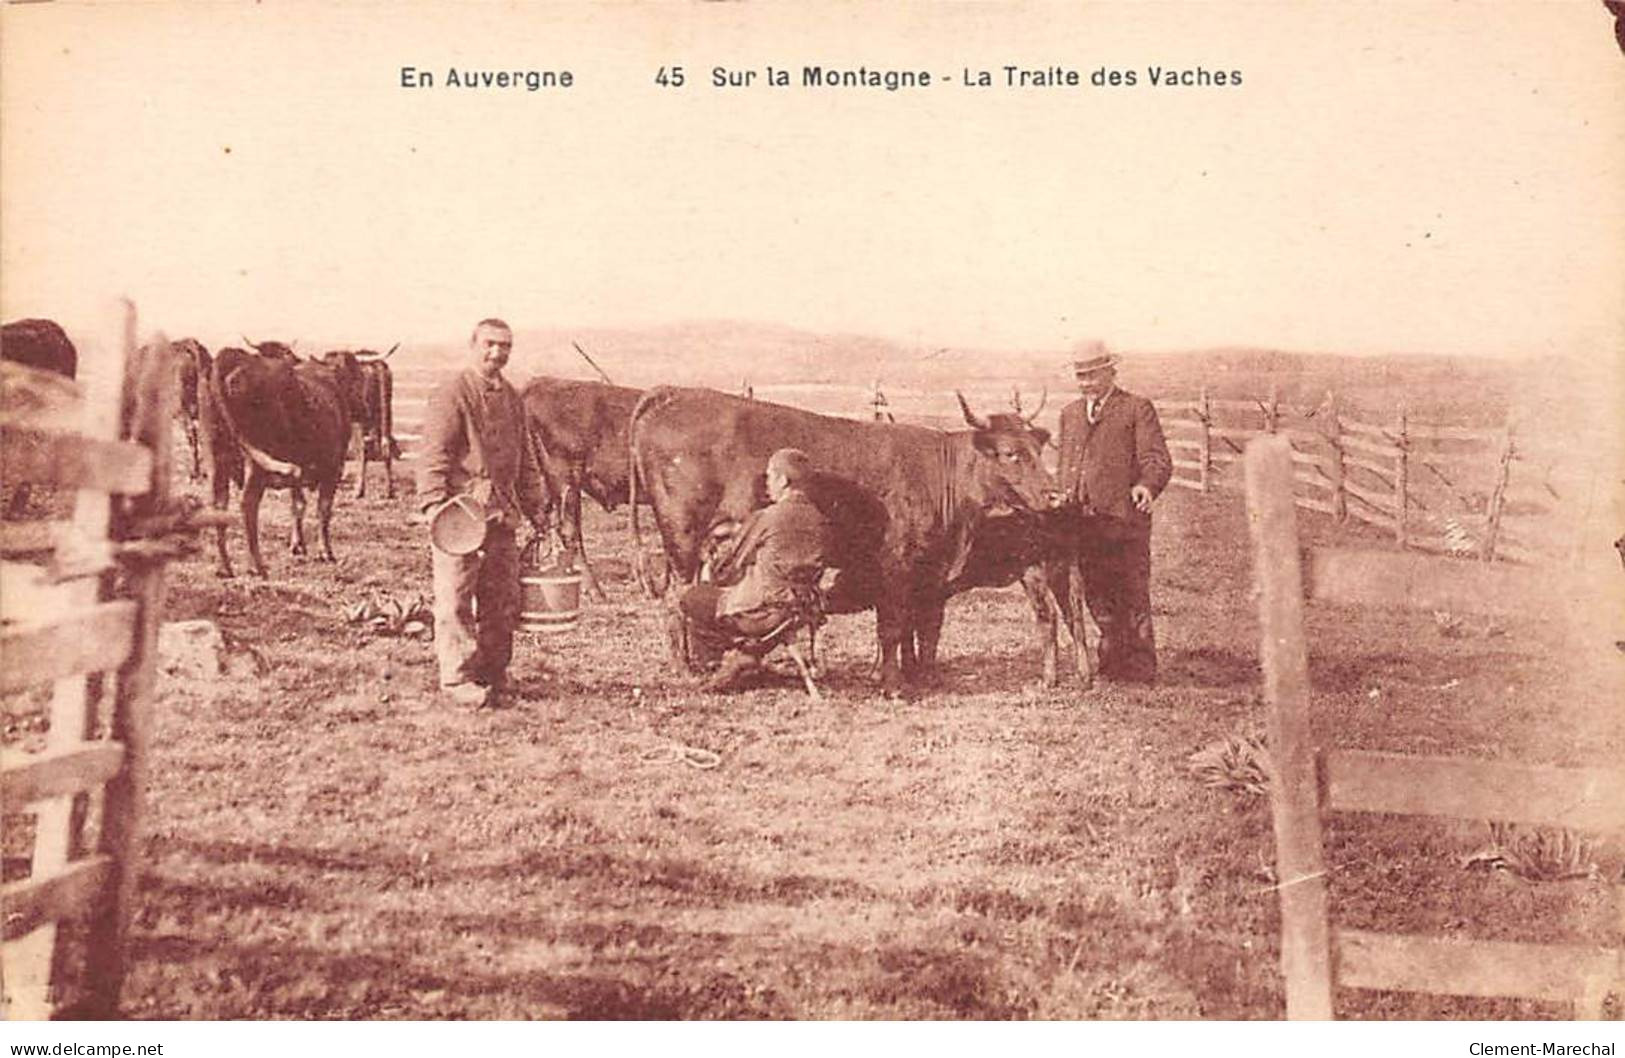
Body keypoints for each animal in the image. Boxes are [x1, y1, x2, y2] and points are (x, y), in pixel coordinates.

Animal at [203, 346, 365, 578]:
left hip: (216, 458)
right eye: (357, 378)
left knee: (218, 504)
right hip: (256, 464)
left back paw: (224, 566)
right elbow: (323, 509)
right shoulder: (334, 468)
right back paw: (257, 565)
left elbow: (297, 505)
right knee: (248, 505)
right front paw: (325, 552)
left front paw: (298, 546)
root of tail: (232, 356)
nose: (366, 408)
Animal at [620, 388, 1053, 695]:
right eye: (1010, 453)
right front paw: (892, 684)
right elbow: (893, 626)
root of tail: (674, 393)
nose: (1054, 493)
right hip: (681, 536)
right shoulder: (894, 564)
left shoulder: (928, 572)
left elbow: (923, 626)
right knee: (675, 599)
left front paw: (921, 675)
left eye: (1038, 447)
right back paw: (686, 668)